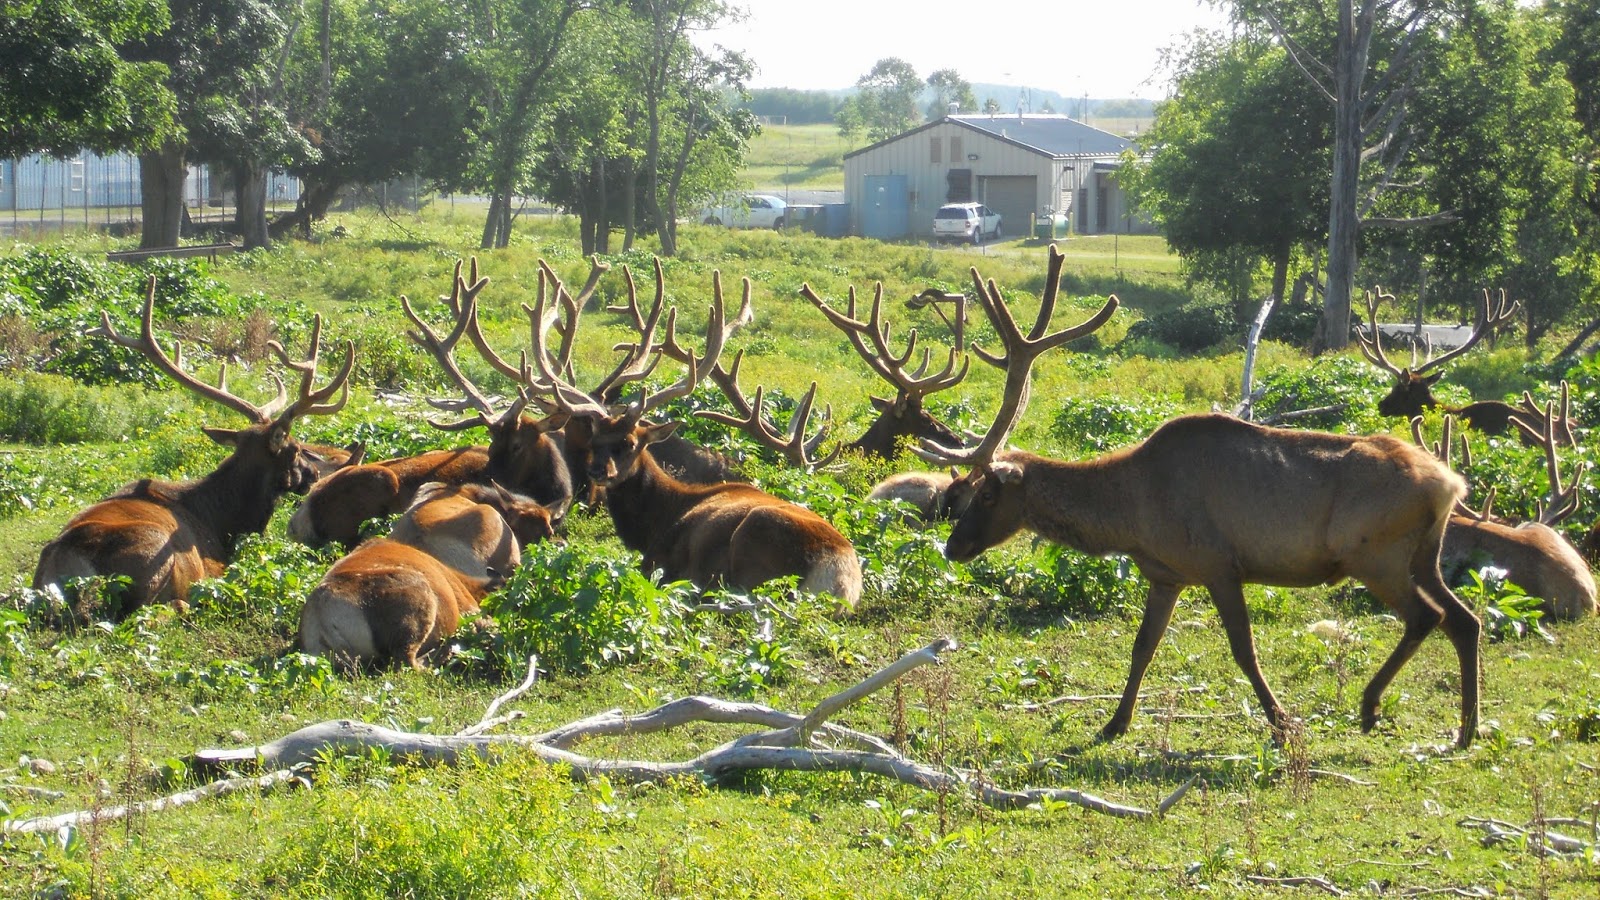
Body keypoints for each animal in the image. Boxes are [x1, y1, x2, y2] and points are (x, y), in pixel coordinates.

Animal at [34, 277, 354, 617]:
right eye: (294, 448)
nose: (313, 476)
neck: (226, 521)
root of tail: (68, 567)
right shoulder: (216, 563)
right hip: (149, 555)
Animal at [298, 481, 558, 671]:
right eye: (547, 530)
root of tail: (320, 619)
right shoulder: (471, 610)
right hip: (418, 605)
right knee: (406, 663)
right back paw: (447, 653)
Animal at [529, 281, 863, 610]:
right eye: (595, 438)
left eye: (630, 442)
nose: (597, 471)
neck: (657, 520)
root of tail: (835, 580)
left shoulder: (658, 561)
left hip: (755, 540)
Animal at [917, 244, 1482, 749]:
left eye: (988, 494)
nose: (953, 546)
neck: (1131, 519)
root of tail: (1450, 483)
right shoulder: (1166, 574)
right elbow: (1142, 647)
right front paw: (1115, 723)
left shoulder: (1219, 564)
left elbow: (1243, 650)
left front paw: (1282, 722)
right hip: (1422, 554)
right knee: (1465, 619)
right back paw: (1465, 729)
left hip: (1375, 554)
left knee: (1427, 616)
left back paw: (1371, 706)